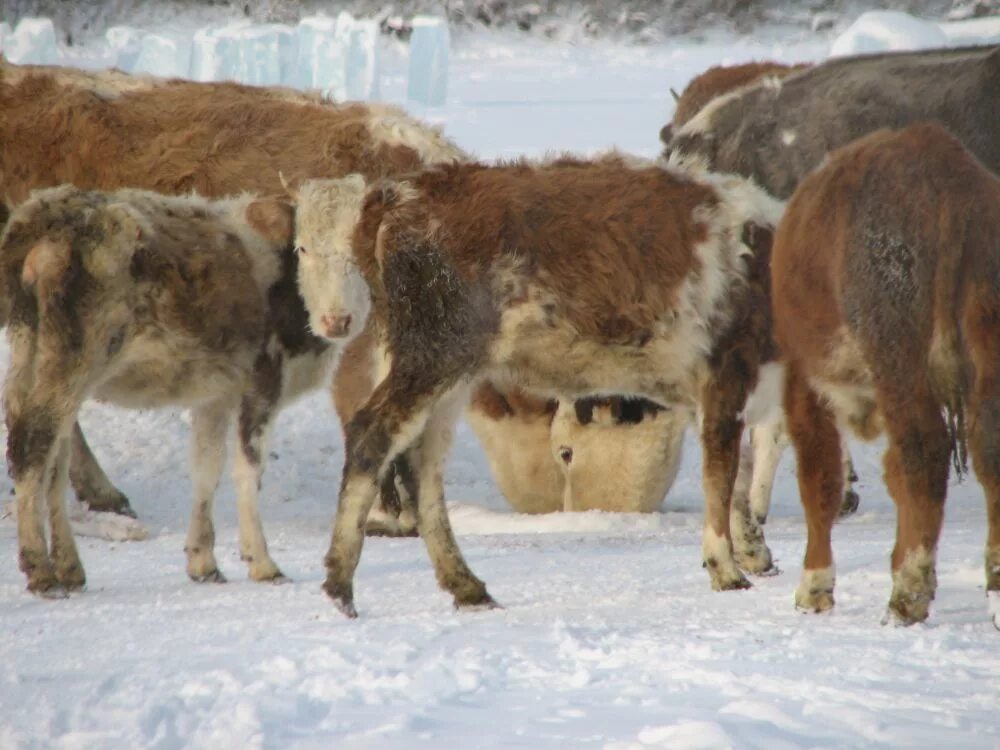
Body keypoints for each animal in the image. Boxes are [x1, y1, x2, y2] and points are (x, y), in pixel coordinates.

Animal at [4, 185, 332, 596]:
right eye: (304, 246)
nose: (338, 317)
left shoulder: (217, 393)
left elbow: (207, 467)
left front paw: (203, 562)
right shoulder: (264, 382)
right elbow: (248, 470)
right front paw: (263, 563)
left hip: (32, 354)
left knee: (50, 454)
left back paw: (69, 566)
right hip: (71, 358)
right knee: (34, 445)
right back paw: (42, 570)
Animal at [290, 153, 788, 616]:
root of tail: (400, 194)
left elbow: (738, 474)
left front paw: (753, 549)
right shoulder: (727, 376)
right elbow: (720, 477)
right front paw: (726, 568)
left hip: (450, 372)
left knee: (421, 463)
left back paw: (465, 585)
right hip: (432, 357)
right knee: (373, 434)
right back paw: (340, 584)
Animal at [772, 123, 1000, 628]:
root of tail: (950, 181)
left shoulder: (805, 378)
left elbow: (819, 476)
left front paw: (814, 585)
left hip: (897, 358)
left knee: (923, 451)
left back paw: (907, 594)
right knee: (987, 447)